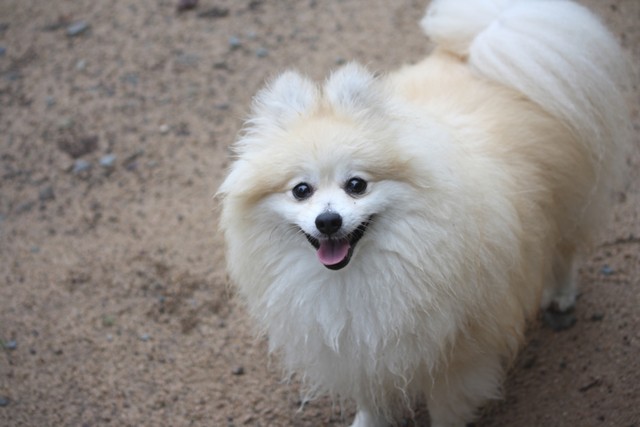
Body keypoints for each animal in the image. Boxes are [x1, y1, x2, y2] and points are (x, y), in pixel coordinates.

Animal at [218, 0, 630, 425]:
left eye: (356, 185)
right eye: (302, 190)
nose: (328, 220)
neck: (359, 276)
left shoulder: (459, 354)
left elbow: (446, 408)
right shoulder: (358, 351)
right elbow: (371, 397)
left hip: (571, 203)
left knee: (564, 251)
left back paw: (560, 295)